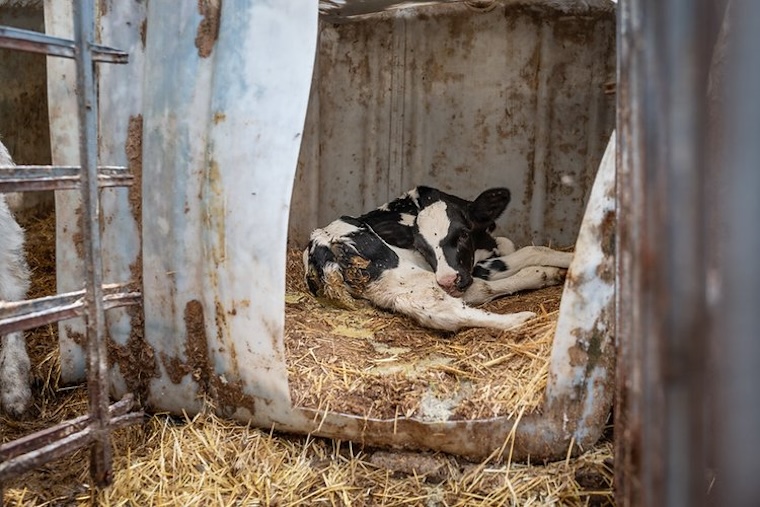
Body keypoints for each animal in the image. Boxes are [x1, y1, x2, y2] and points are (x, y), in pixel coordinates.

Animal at [303, 186, 572, 332]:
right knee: (464, 301)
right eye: (421, 246)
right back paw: (522, 316)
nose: (449, 279)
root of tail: (321, 244)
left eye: (463, 233)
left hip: (396, 289)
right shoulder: (475, 269)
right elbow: (533, 251)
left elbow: (507, 245)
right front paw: (567, 260)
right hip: (410, 276)